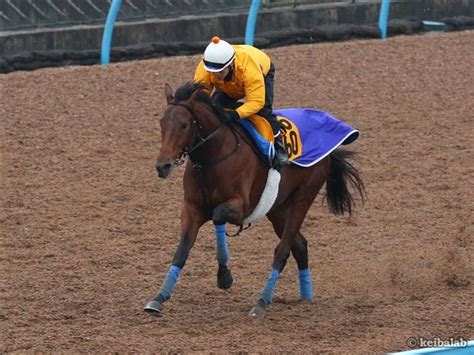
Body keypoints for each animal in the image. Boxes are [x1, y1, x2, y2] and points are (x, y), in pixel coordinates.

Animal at [143, 81, 362, 318]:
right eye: (162, 123)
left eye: (184, 125)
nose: (163, 166)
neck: (214, 157)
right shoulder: (192, 208)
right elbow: (182, 250)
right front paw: (159, 297)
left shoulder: (241, 206)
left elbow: (218, 216)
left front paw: (224, 276)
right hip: (277, 209)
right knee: (300, 245)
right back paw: (306, 297)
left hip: (303, 198)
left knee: (283, 251)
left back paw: (262, 302)